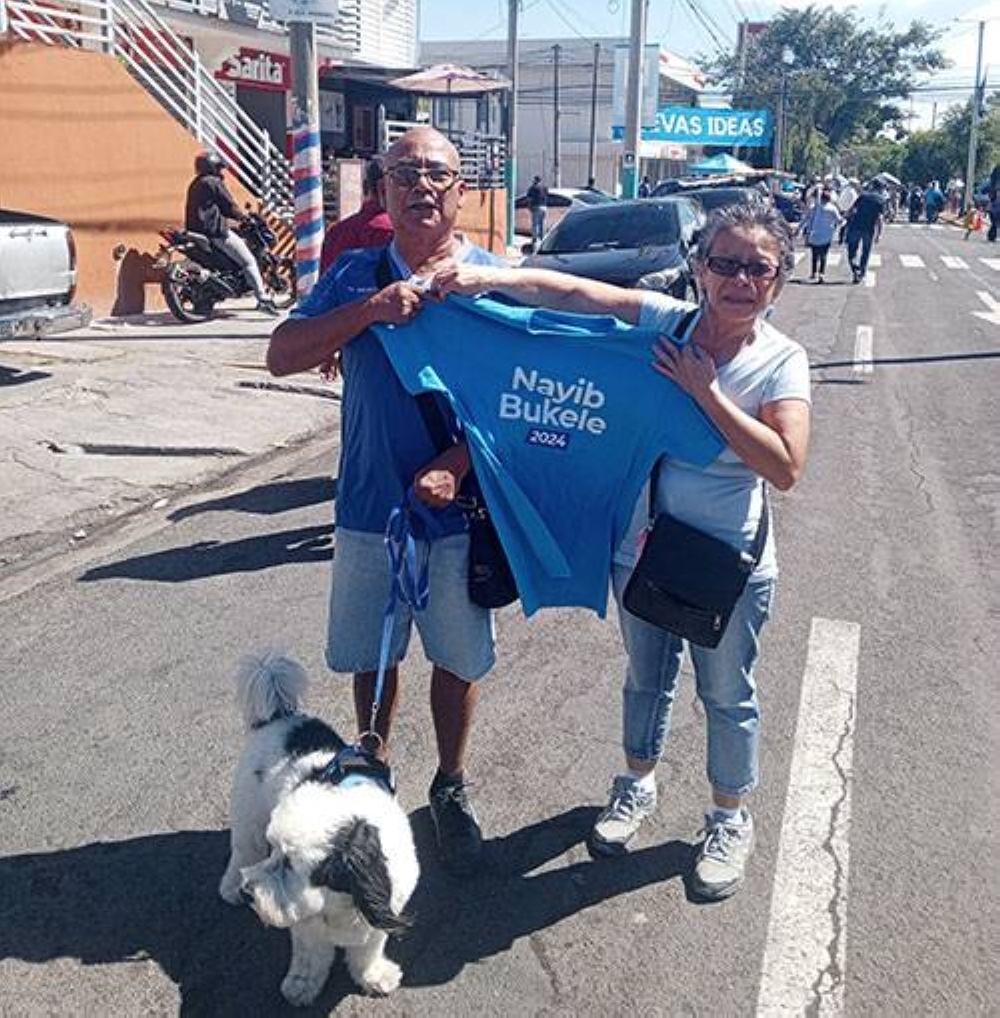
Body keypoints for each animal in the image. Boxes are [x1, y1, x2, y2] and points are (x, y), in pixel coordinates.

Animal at [218, 651, 419, 1001]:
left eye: (288, 863)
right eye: (276, 854)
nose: (249, 892)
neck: (339, 896)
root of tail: (282, 717)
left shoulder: (379, 918)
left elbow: (367, 952)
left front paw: (374, 976)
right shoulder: (305, 923)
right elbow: (311, 955)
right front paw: (302, 985)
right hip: (249, 818)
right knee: (243, 851)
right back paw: (230, 886)